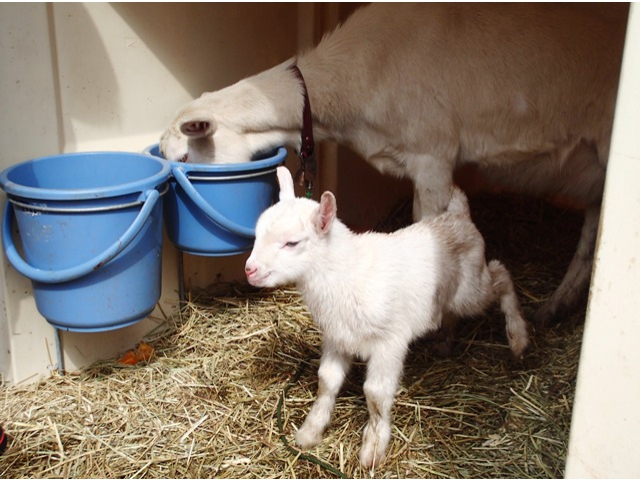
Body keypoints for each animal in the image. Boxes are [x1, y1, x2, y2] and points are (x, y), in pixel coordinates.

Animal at [244, 167, 528, 466]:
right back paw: (446, 343)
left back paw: (518, 338)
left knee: (500, 275)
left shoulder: (389, 342)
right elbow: (327, 381)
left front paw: (373, 446)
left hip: (469, 289)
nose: (250, 269)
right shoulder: (337, 337)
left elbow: (375, 394)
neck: (346, 274)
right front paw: (310, 430)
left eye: (292, 243)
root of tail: (459, 216)